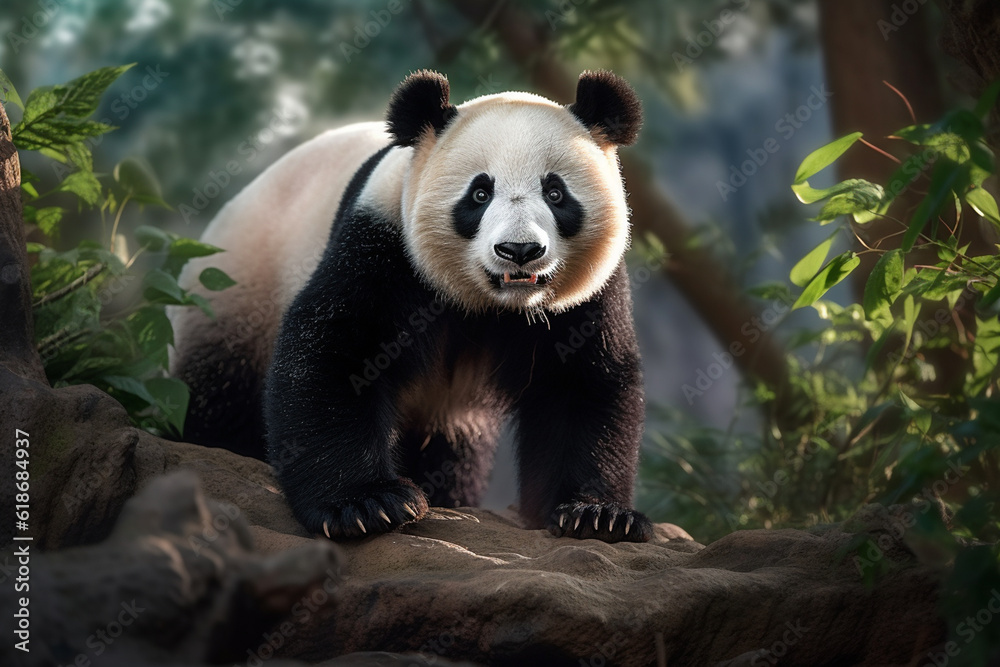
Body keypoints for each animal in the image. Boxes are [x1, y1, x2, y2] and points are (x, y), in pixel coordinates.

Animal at [170, 69, 652, 543]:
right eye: (480, 194)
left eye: (555, 193)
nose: (519, 251)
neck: (493, 304)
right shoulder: (383, 242)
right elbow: (335, 351)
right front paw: (368, 505)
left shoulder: (587, 296)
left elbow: (583, 385)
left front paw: (597, 515)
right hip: (237, 296)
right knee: (217, 402)